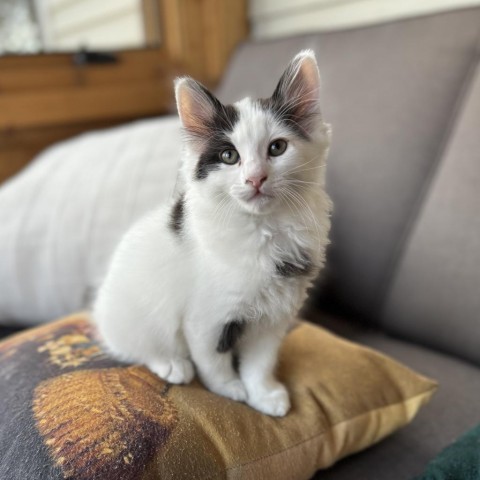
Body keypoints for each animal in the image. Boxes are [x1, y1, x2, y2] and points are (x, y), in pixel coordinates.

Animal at [94, 49, 334, 416]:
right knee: (138, 344)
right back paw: (171, 364)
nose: (255, 178)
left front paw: (264, 394)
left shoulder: (274, 317)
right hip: (134, 310)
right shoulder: (207, 317)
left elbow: (260, 361)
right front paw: (230, 389)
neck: (264, 230)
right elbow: (213, 360)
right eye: (229, 156)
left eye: (277, 148)